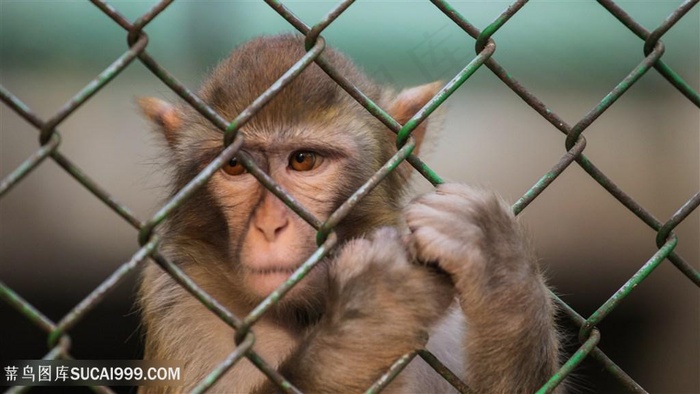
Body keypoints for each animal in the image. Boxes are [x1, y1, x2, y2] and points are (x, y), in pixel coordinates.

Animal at [138, 34, 556, 394]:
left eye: (303, 160)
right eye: (235, 166)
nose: (269, 226)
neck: (302, 316)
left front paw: (496, 259)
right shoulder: (183, 308)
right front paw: (373, 311)